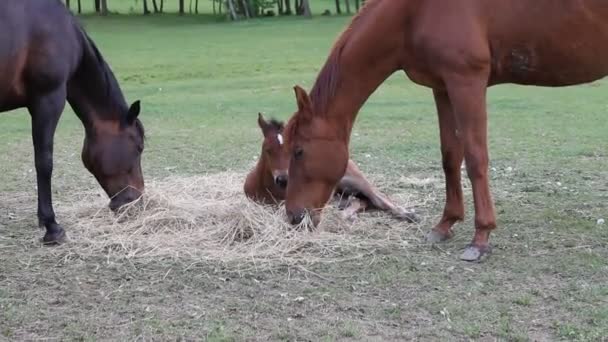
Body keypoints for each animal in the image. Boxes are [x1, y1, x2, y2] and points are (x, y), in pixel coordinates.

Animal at [282, 0, 608, 260]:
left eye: (298, 151)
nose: (293, 216)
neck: (413, 12)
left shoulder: (467, 82)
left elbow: (475, 159)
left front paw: (481, 237)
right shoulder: (442, 87)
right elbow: (450, 156)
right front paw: (445, 224)